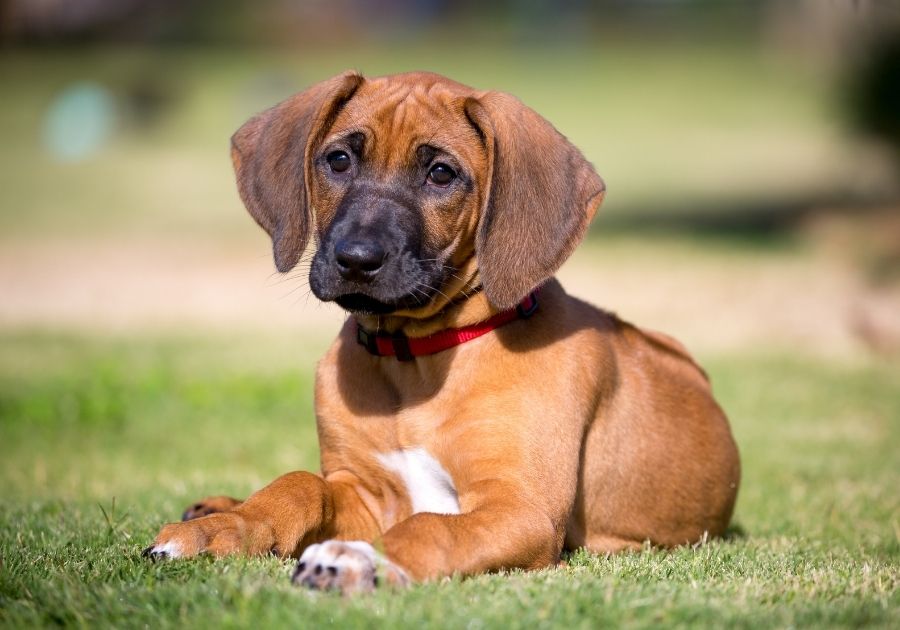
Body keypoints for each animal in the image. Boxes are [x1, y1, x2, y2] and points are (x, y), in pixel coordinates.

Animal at [144, 71, 740, 596]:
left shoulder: (521, 508)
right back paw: (214, 507)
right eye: (338, 160)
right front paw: (223, 528)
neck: (415, 358)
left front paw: (359, 559)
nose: (355, 259)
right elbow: (300, 484)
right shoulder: (364, 492)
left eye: (440, 173)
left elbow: (431, 527)